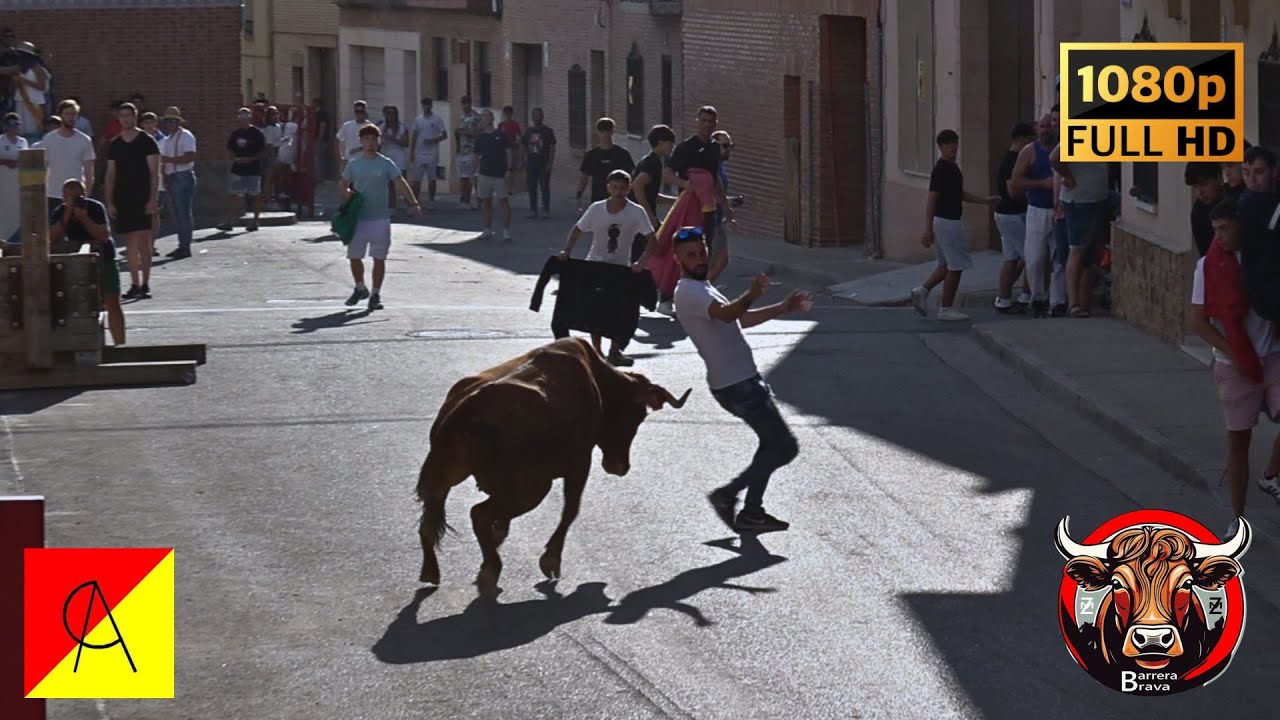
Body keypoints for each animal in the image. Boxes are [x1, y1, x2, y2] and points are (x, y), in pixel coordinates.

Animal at [416, 337, 691, 594]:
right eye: (637, 416)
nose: (621, 467)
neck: (597, 381)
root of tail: (470, 404)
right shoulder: (579, 464)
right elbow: (570, 510)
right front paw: (550, 560)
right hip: (532, 488)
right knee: (478, 514)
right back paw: (491, 569)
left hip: (446, 477)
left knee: (430, 522)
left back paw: (432, 571)